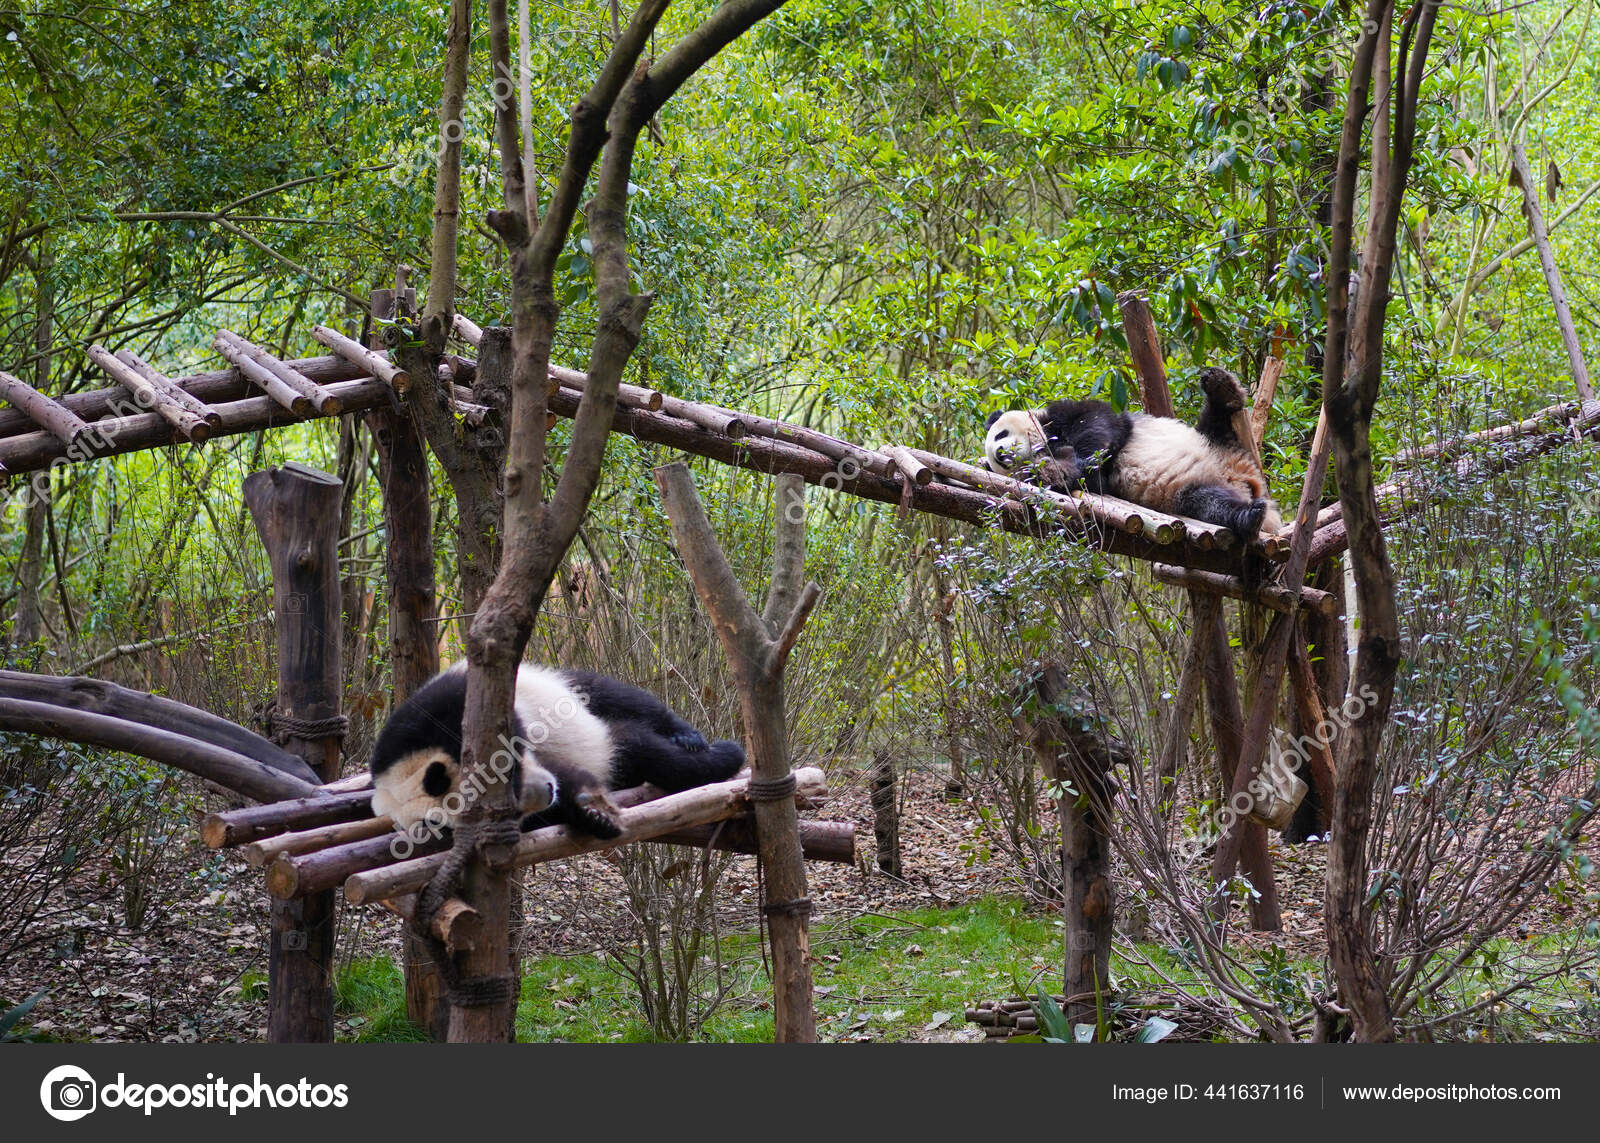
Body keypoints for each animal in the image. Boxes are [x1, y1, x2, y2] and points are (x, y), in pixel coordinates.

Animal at [371, 659, 745, 838]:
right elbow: (566, 782)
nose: (547, 791)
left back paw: (705, 747)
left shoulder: (436, 710)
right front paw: (592, 815)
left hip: (567, 688)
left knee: (630, 712)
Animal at [979, 366, 1280, 541]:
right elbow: (1092, 480)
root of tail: (1242, 477)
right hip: (1189, 492)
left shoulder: (1067, 414)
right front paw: (1051, 469)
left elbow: (1098, 423)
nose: (1002, 453)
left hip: (1213, 441)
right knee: (1210, 503)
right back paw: (1249, 516)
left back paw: (1222, 389)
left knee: (1217, 419)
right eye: (996, 461)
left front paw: (1071, 460)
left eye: (999, 435)